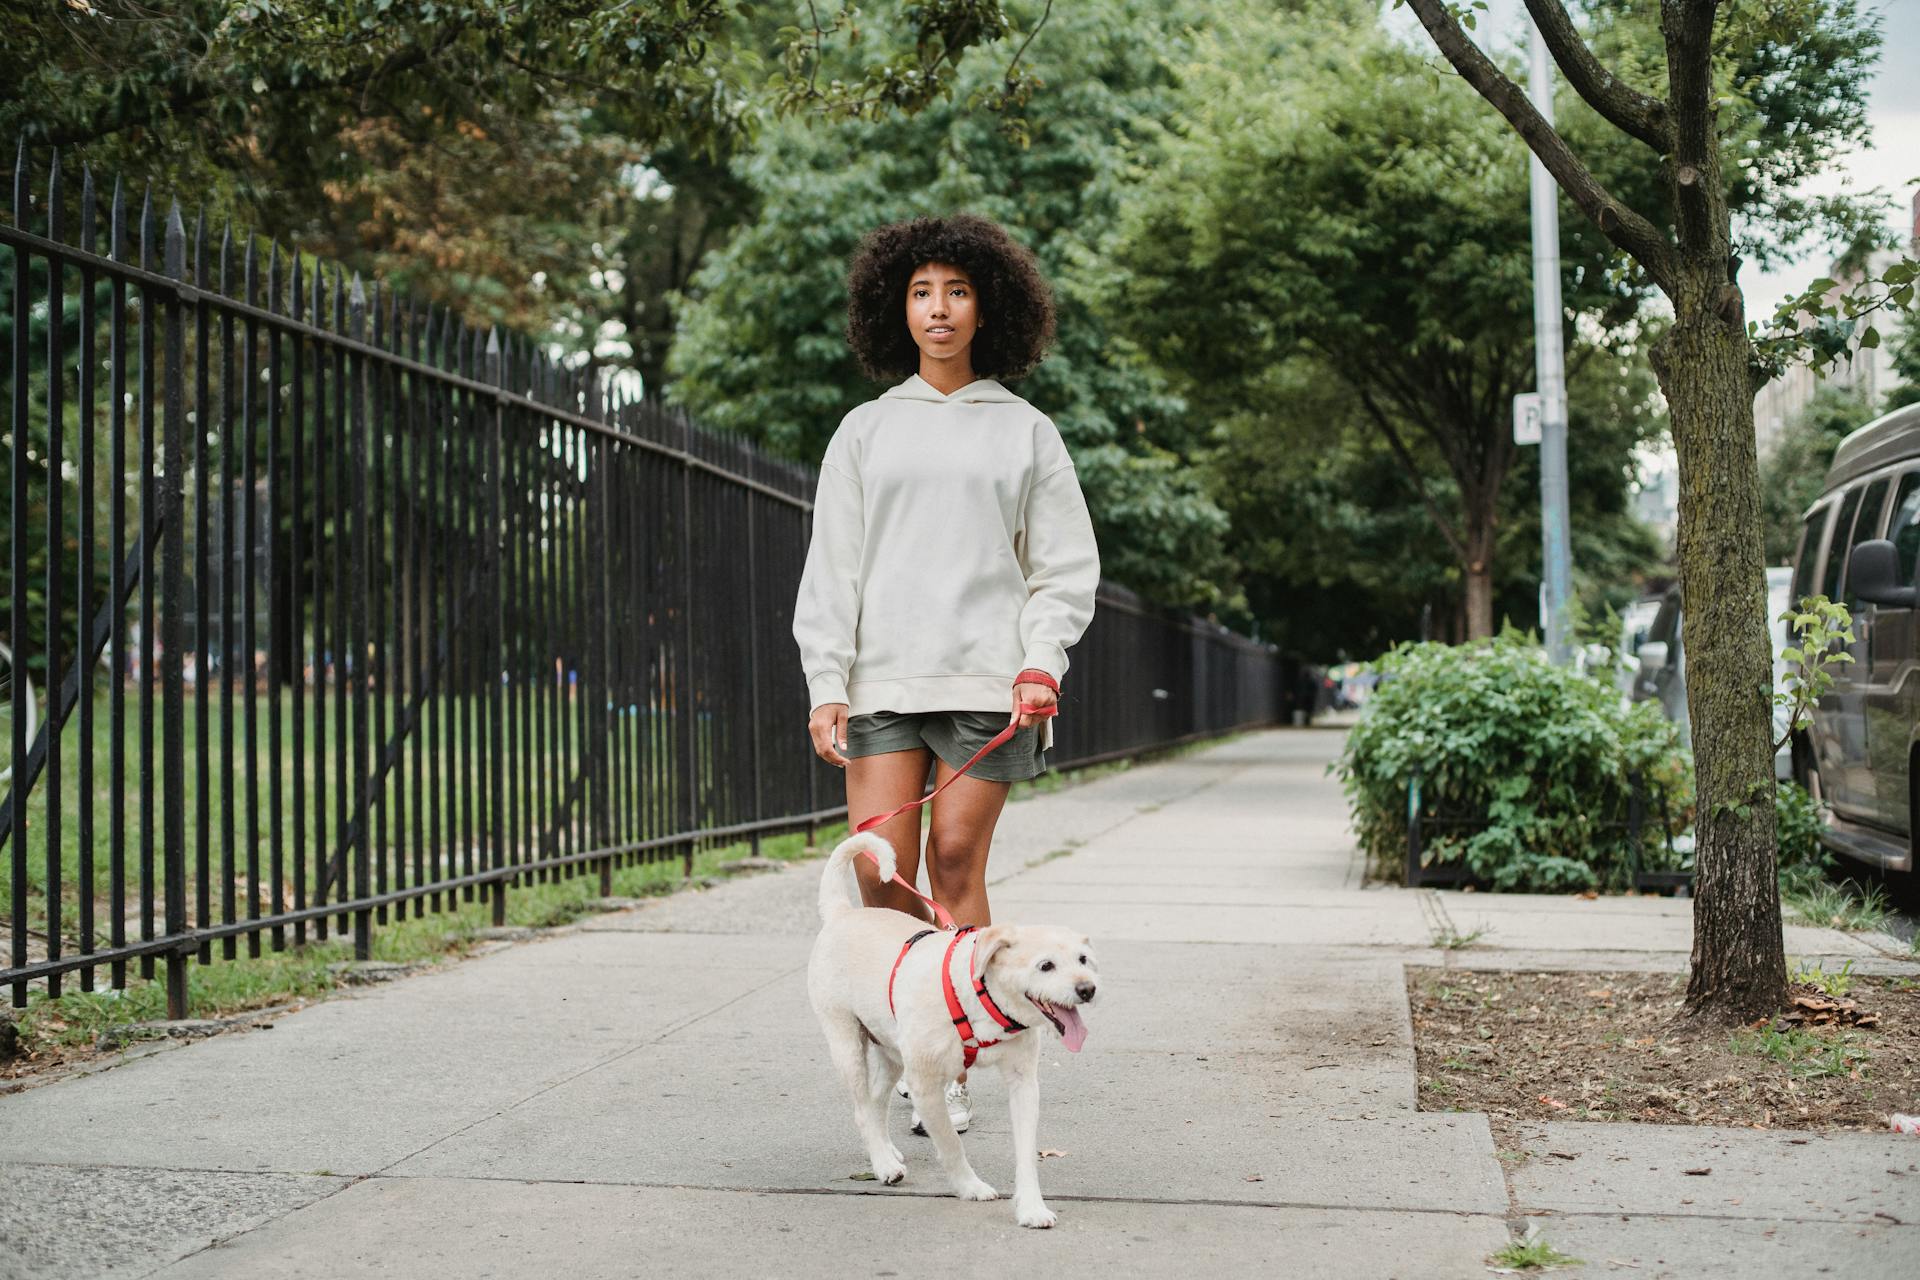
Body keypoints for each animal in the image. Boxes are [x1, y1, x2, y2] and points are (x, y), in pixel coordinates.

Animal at [806, 832, 1105, 1228]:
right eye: (1046, 966)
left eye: (1083, 959)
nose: (1088, 989)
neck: (980, 996)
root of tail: (842, 912)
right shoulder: (925, 1086)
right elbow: (950, 1143)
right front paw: (970, 1187)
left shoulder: (1024, 1084)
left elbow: (1026, 1153)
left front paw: (1031, 1207)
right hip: (848, 1045)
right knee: (862, 1107)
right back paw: (883, 1164)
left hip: (892, 1055)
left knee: (875, 1102)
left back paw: (886, 1152)